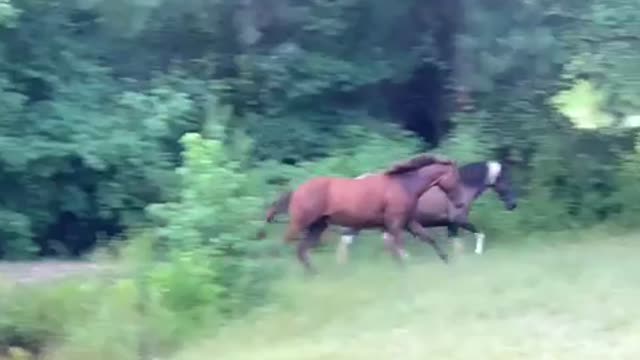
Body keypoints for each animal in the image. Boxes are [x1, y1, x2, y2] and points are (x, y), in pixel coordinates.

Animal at [260, 155, 464, 272]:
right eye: (456, 177)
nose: (460, 203)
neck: (404, 185)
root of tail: (296, 191)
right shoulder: (395, 224)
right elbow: (398, 248)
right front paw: (404, 268)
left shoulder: (408, 222)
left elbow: (428, 239)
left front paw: (448, 262)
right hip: (300, 224)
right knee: (286, 246)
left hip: (317, 226)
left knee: (302, 250)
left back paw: (313, 274)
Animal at [338, 160, 516, 262]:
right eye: (507, 179)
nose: (513, 205)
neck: (462, 187)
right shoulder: (458, 220)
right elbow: (478, 234)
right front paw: (476, 253)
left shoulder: (450, 224)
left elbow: (456, 242)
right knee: (347, 241)